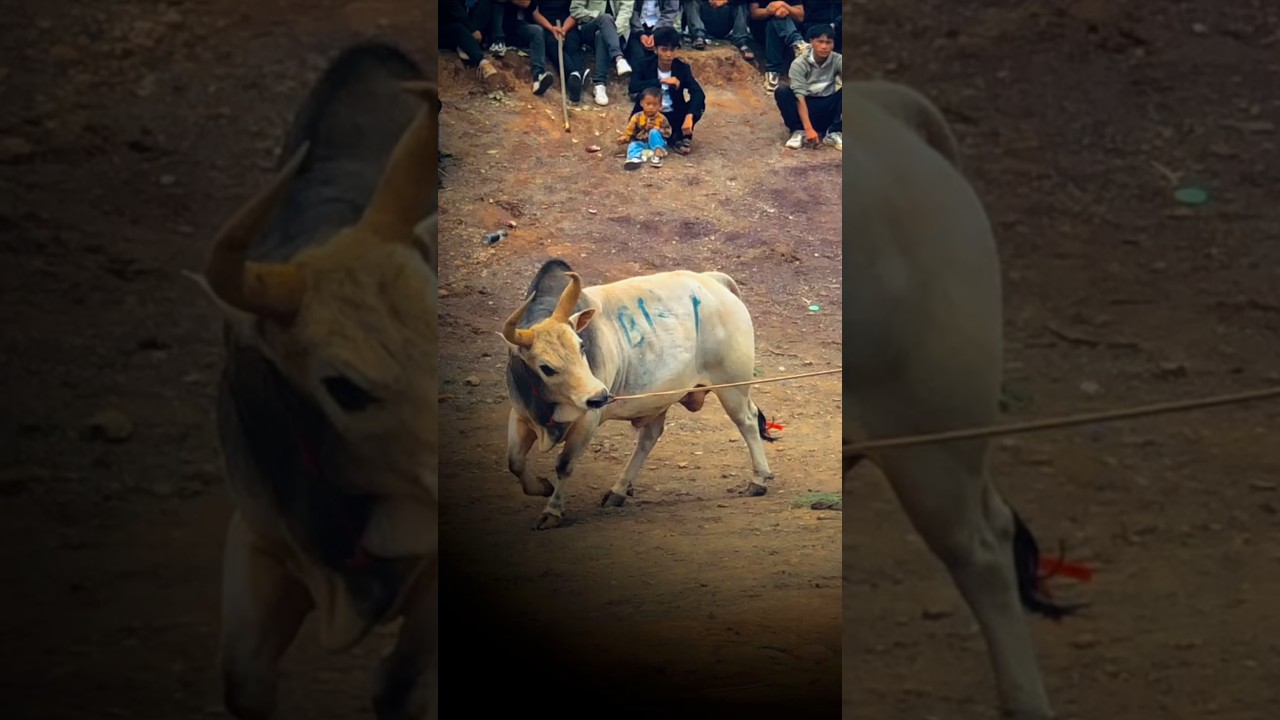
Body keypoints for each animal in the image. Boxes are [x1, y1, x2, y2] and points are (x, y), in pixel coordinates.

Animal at [500, 260, 782, 530]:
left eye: (581, 346)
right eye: (546, 367)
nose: (599, 396)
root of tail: (714, 280)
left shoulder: (587, 421)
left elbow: (564, 464)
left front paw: (552, 511)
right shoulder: (521, 415)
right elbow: (515, 462)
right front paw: (541, 487)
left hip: (732, 387)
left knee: (747, 421)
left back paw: (758, 479)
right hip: (662, 399)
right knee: (649, 437)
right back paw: (618, 491)